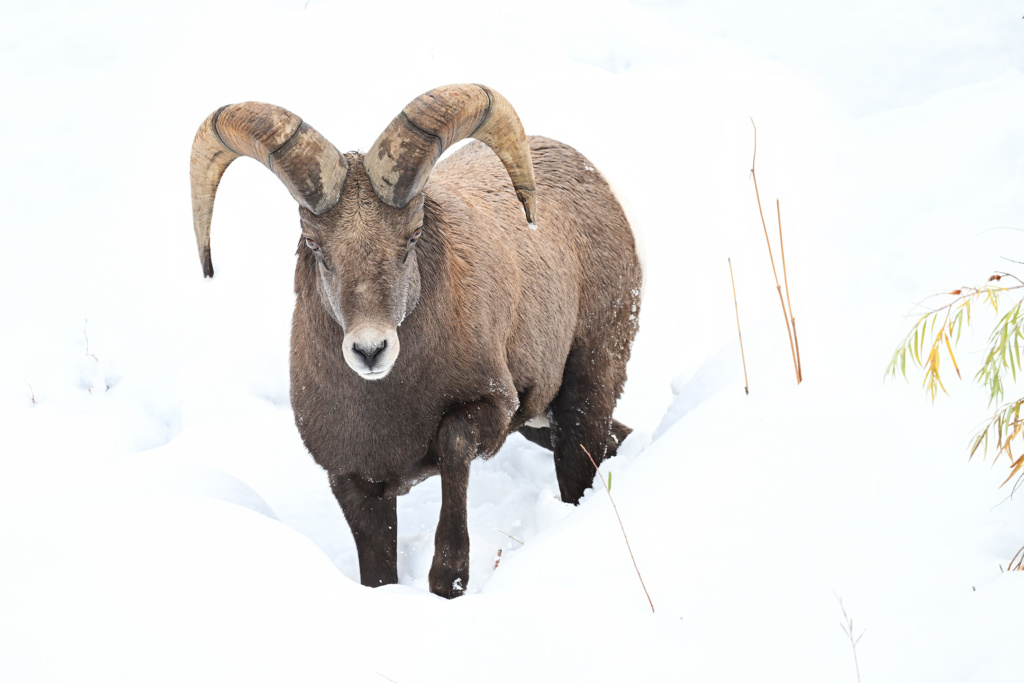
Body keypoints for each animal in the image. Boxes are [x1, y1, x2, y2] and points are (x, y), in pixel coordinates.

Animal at [190, 83, 638, 598]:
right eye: (315, 243)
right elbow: (378, 575)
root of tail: (594, 180)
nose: (370, 351)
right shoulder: (353, 484)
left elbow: (453, 447)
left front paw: (450, 580)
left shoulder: (489, 411)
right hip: (543, 421)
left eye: (412, 235)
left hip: (582, 401)